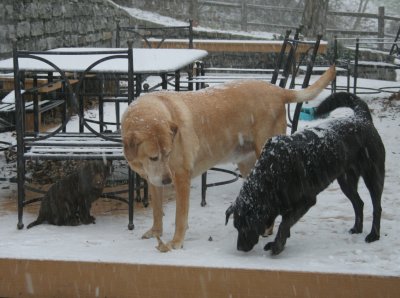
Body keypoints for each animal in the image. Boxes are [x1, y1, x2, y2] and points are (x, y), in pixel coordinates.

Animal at [121, 64, 334, 249]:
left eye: (168, 153)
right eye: (154, 157)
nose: (167, 181)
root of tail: (278, 90)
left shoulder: (181, 177)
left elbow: (180, 216)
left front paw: (176, 241)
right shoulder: (154, 180)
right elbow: (157, 210)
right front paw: (156, 231)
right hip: (249, 166)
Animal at [225, 92, 384, 255]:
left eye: (247, 225)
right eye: (236, 226)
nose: (240, 248)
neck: (271, 173)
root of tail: (361, 118)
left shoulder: (306, 200)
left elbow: (284, 223)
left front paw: (277, 245)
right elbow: (285, 222)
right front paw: (279, 241)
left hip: (373, 175)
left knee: (377, 207)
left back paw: (373, 235)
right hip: (347, 181)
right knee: (359, 203)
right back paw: (357, 228)